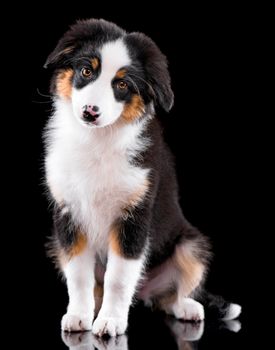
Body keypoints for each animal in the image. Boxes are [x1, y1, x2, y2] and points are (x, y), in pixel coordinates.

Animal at [43, 18, 242, 336]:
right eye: (86, 71)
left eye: (122, 85)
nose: (89, 112)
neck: (97, 140)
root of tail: (145, 292)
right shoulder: (68, 217)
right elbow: (79, 276)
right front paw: (79, 316)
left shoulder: (134, 217)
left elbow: (118, 278)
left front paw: (110, 321)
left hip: (192, 244)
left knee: (171, 294)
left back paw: (188, 308)